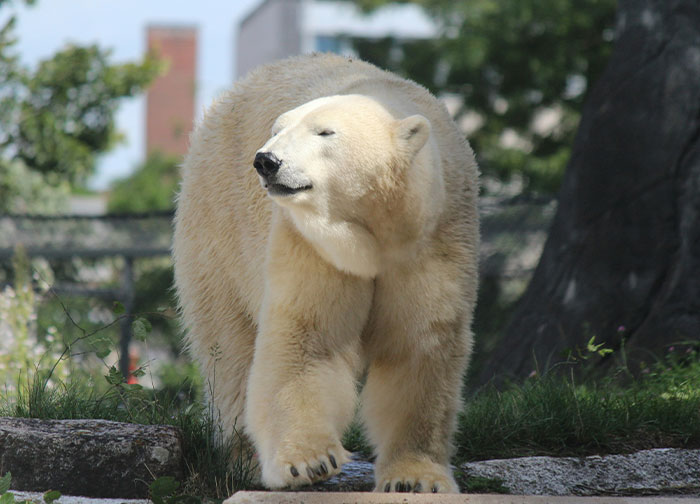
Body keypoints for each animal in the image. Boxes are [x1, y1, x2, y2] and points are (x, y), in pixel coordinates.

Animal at [172, 53, 479, 494]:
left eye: (325, 132)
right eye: (278, 129)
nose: (266, 160)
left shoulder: (434, 238)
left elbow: (419, 344)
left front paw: (416, 478)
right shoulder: (311, 242)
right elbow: (307, 334)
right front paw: (308, 462)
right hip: (216, 230)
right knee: (228, 347)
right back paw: (242, 457)